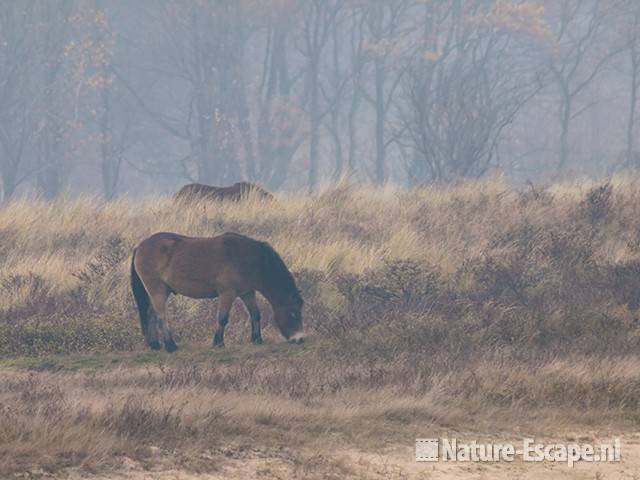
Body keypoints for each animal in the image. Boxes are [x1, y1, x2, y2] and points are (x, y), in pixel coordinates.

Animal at [131, 232, 304, 352]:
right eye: (293, 313)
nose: (300, 339)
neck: (248, 258)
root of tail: (139, 246)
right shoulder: (227, 293)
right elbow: (222, 318)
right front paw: (218, 342)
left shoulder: (247, 293)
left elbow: (255, 314)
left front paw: (257, 339)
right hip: (158, 292)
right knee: (161, 317)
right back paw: (170, 346)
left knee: (150, 314)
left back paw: (154, 344)